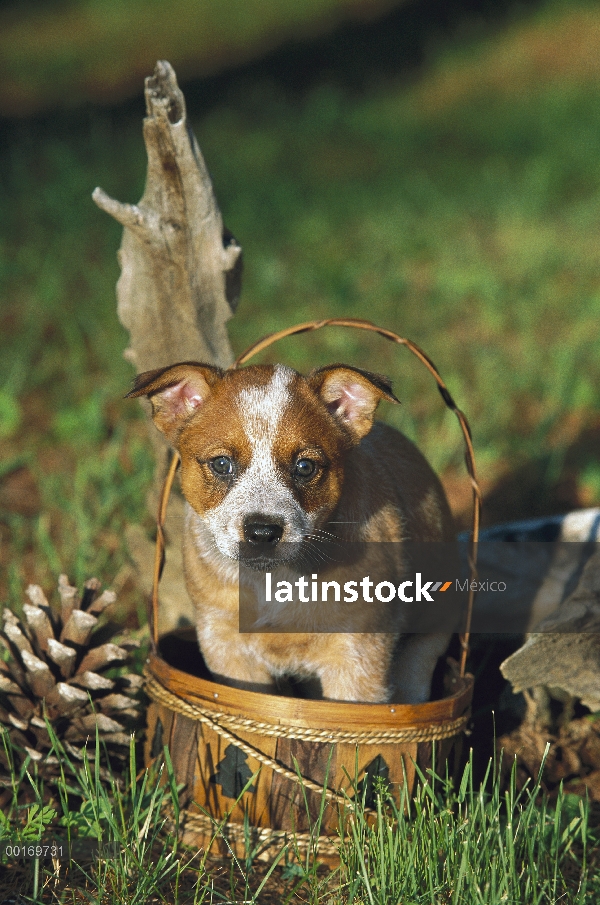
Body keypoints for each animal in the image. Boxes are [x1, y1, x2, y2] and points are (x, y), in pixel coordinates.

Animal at [127, 364, 454, 704]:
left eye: (305, 467)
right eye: (221, 463)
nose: (261, 532)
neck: (274, 582)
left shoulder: (358, 657)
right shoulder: (227, 648)